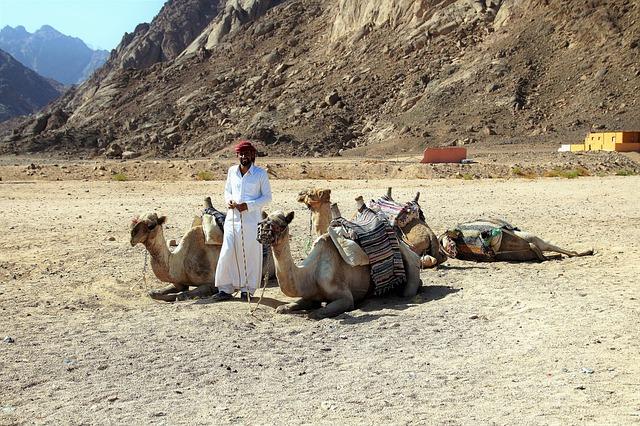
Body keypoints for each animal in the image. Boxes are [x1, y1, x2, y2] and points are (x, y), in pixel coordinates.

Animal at [258, 198, 422, 318]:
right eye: (264, 221)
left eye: (281, 225)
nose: (263, 233)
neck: (310, 273)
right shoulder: (310, 296)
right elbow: (284, 307)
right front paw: (283, 307)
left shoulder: (345, 297)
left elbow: (317, 313)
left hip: (408, 260)